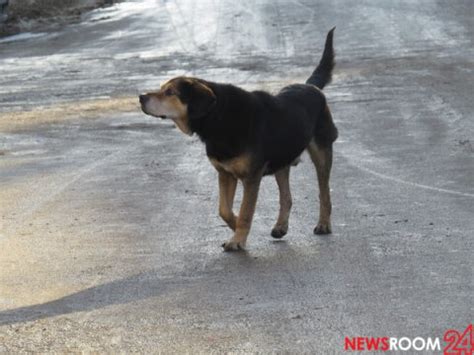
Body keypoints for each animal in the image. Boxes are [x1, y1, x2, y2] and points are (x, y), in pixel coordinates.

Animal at [139, 27, 338, 252]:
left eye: (170, 92)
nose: (141, 97)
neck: (217, 118)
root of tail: (311, 86)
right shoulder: (225, 173)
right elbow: (224, 209)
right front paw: (235, 227)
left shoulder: (251, 177)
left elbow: (245, 210)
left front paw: (237, 239)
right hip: (282, 159)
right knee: (286, 197)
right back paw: (280, 227)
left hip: (322, 151)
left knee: (324, 192)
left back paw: (323, 224)